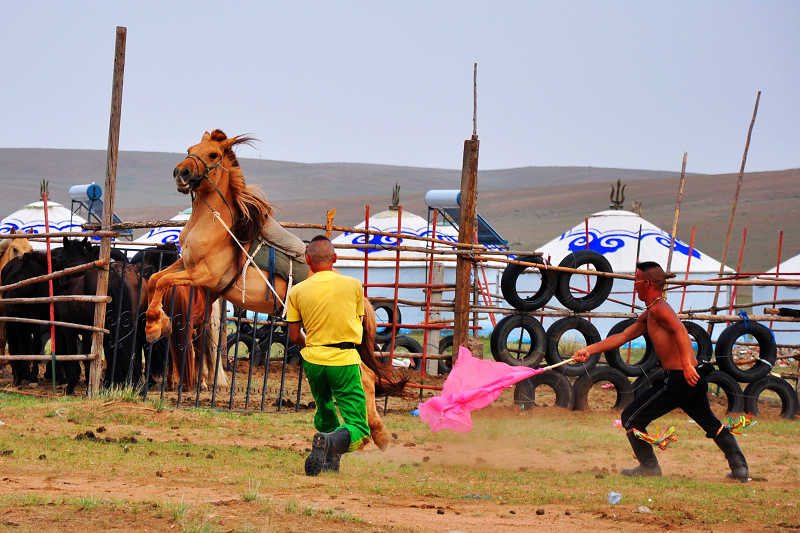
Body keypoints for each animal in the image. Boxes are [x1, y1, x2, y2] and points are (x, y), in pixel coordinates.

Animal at [146, 130, 396, 448]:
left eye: (213, 154)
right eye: (191, 148)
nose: (182, 172)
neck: (217, 227)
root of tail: (361, 298)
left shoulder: (204, 276)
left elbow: (163, 282)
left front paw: (155, 324)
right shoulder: (184, 265)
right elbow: (155, 279)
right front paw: (155, 323)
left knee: (365, 376)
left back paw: (372, 433)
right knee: (366, 376)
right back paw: (372, 434)